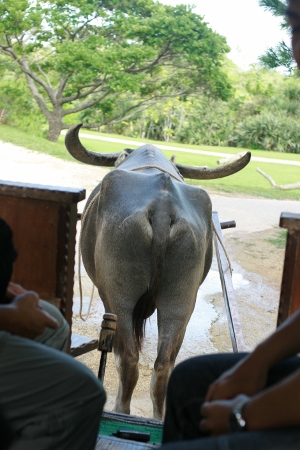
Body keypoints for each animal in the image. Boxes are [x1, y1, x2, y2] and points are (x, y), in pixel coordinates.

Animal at [65, 123, 251, 418]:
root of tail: (162, 208)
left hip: (119, 298)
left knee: (128, 359)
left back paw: (120, 410)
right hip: (181, 299)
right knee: (164, 366)